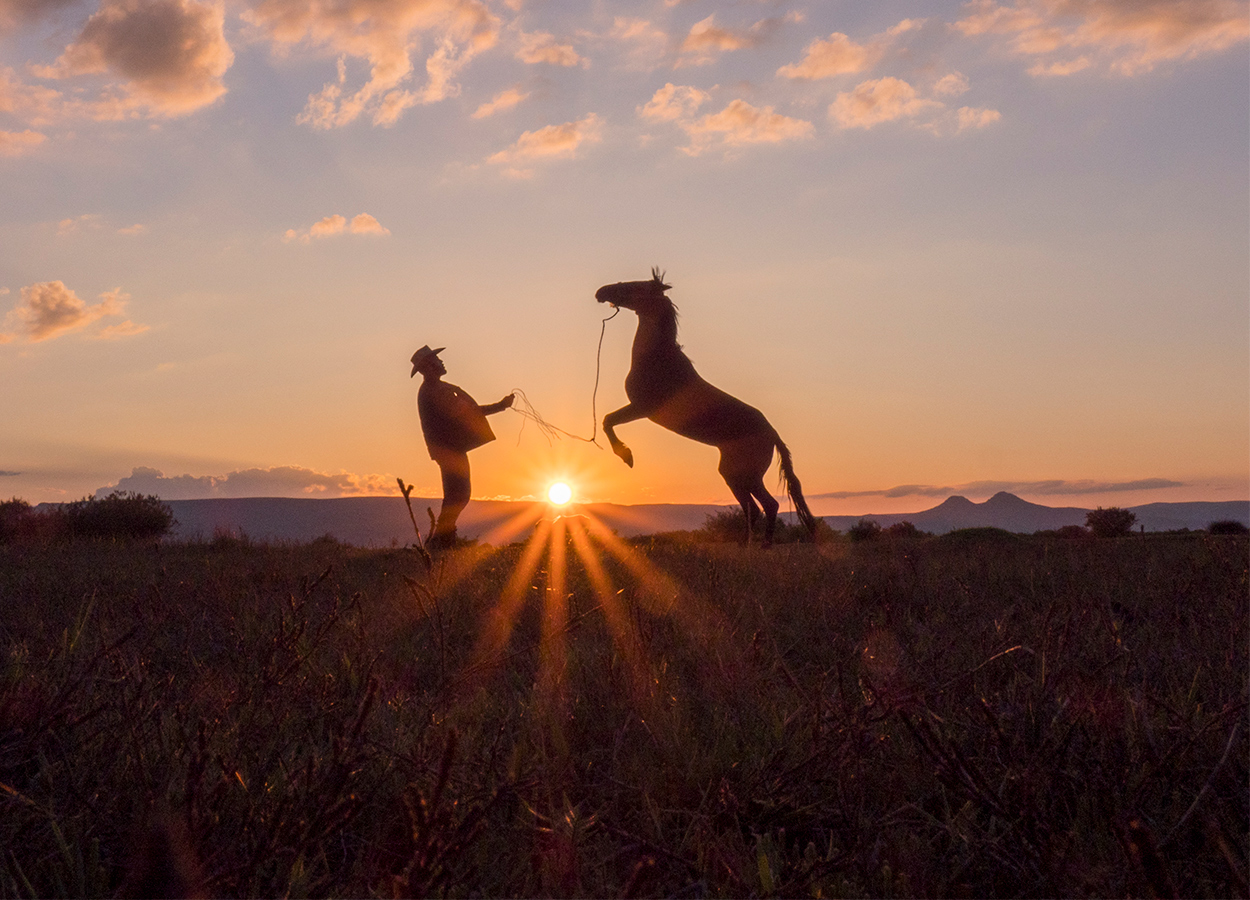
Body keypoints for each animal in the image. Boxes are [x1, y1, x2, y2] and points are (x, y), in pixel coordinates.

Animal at [595, 267, 820, 545]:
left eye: (636, 286)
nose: (602, 292)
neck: (658, 359)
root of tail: (772, 433)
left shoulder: (641, 408)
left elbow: (607, 421)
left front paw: (627, 456)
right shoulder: (638, 408)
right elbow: (608, 421)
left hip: (744, 474)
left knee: (767, 505)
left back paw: (763, 546)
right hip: (733, 474)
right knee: (754, 508)